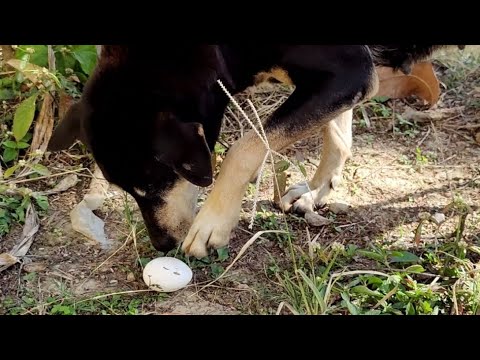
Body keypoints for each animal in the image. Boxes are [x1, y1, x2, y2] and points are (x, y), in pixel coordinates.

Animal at [47, 45, 458, 258]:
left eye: (153, 185)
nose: (163, 246)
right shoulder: (346, 81)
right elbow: (338, 133)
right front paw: (316, 190)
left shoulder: (349, 71)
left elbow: (245, 146)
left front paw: (212, 222)